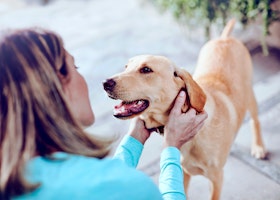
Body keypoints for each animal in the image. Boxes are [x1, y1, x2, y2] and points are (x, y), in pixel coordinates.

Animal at [103, 19, 266, 200]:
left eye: (146, 69)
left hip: (249, 94)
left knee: (256, 120)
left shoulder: (216, 179)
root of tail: (224, 38)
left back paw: (258, 147)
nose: (105, 83)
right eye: (126, 67)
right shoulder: (183, 173)